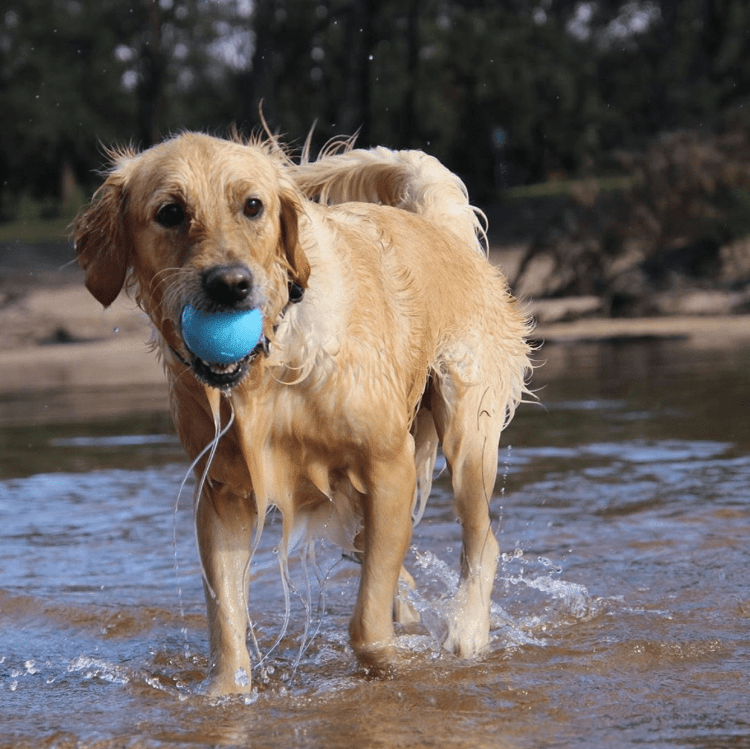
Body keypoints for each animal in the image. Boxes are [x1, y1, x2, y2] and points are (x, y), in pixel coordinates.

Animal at [73, 130, 536, 696]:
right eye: (170, 212)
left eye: (253, 206)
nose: (230, 284)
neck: (270, 362)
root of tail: (437, 225)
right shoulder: (223, 493)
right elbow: (226, 620)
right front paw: (224, 696)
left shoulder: (388, 466)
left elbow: (366, 626)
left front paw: (388, 671)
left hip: (466, 428)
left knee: (481, 540)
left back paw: (466, 630)